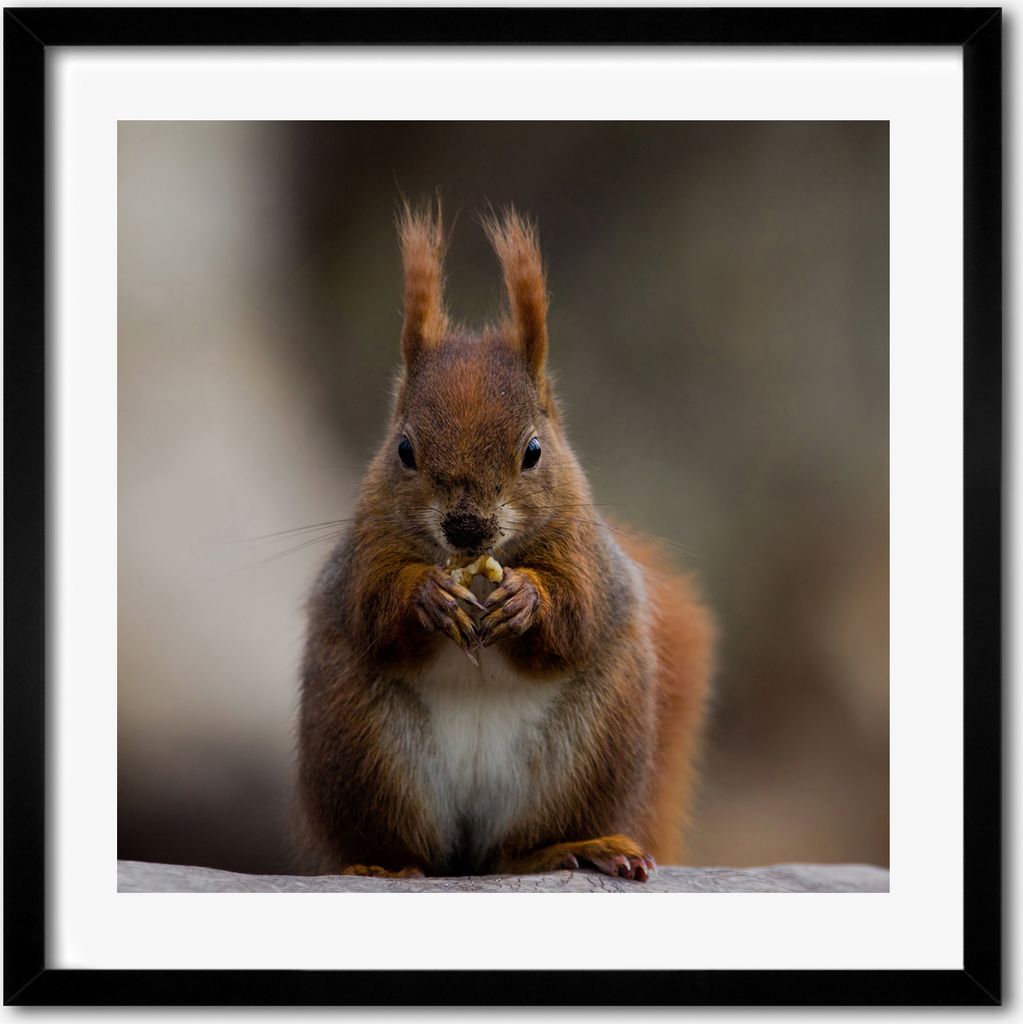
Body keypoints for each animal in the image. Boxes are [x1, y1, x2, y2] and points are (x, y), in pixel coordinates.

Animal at [296, 202, 715, 882]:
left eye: (534, 451)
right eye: (404, 449)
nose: (466, 527)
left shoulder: (585, 552)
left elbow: (578, 612)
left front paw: (526, 599)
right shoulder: (364, 548)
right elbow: (372, 605)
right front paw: (428, 594)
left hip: (588, 751)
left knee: (513, 851)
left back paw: (576, 847)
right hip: (362, 748)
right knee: (411, 847)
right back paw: (381, 868)